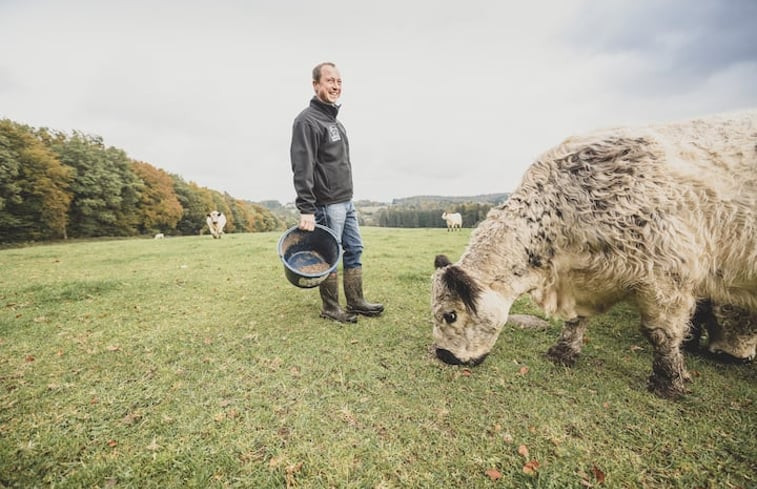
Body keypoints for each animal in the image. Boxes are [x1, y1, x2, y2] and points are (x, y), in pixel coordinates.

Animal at [432, 109, 756, 396]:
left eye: (450, 315)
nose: (444, 355)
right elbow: (575, 320)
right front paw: (563, 351)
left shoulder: (667, 276)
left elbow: (661, 333)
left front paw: (668, 382)